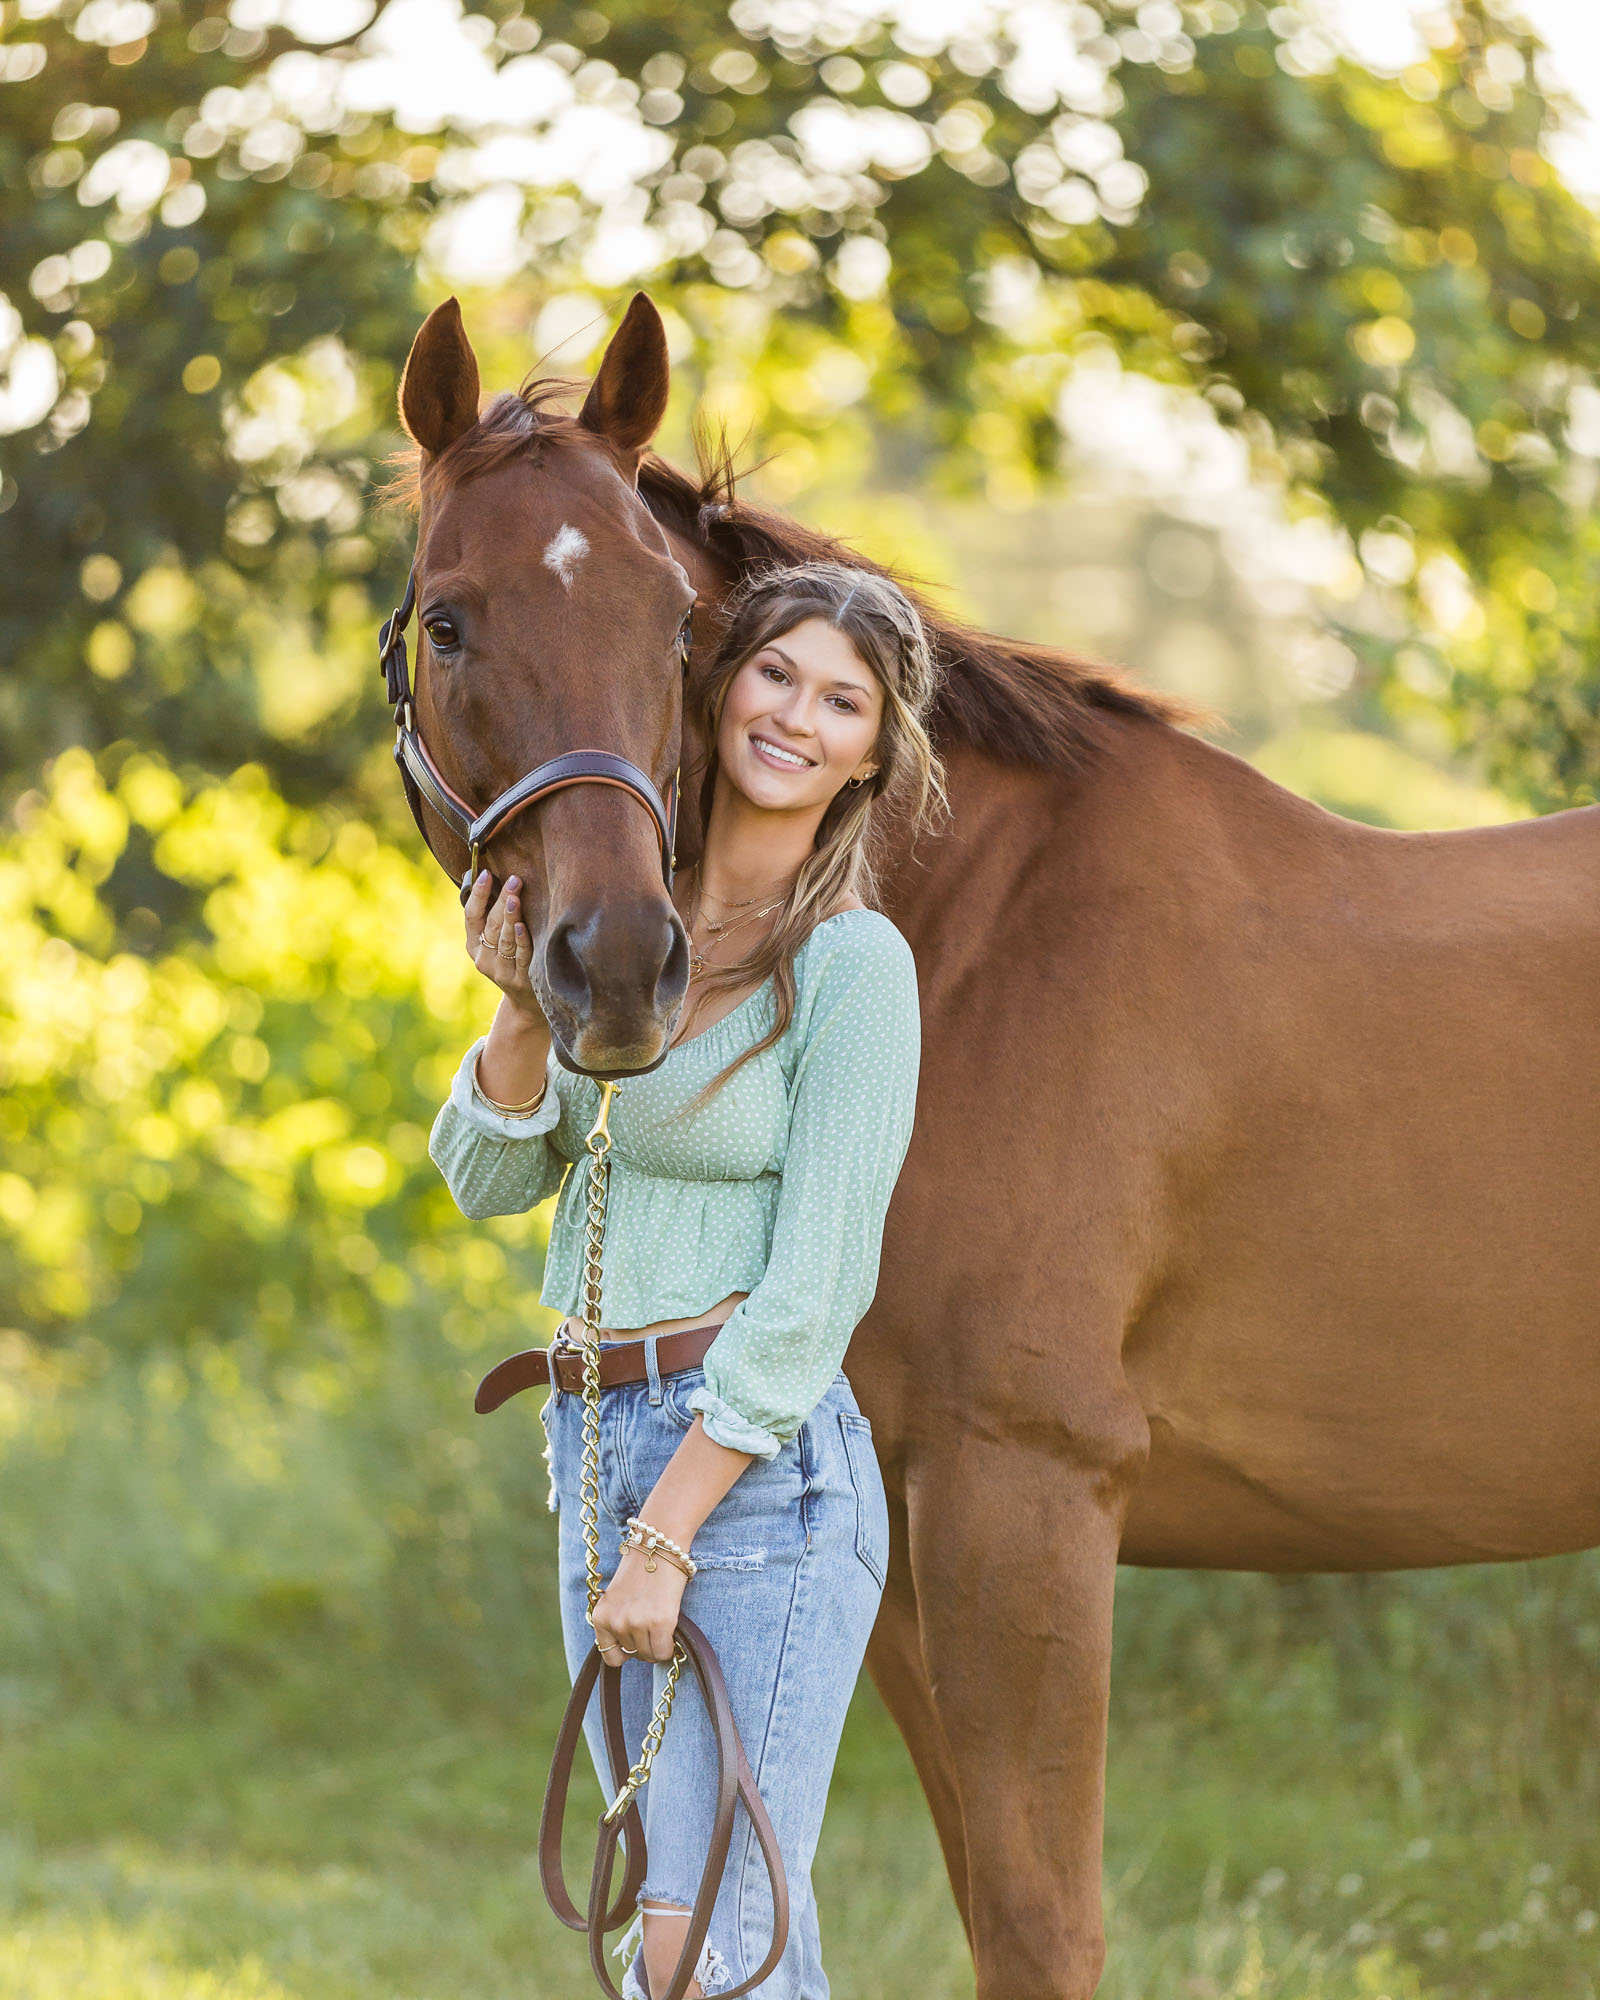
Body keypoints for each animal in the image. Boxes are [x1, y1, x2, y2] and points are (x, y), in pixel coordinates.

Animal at [394, 296, 1600, 2000]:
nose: (619, 964)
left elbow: (1041, 1921)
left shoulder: (1023, 1498)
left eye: (678, 629)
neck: (969, 950)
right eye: (448, 622)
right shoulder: (896, 1549)